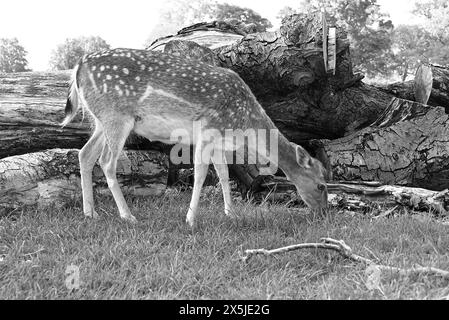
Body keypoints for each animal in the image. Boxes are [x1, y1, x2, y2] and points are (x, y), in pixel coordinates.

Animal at [62, 48, 328, 226]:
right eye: (321, 185)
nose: (324, 213)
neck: (243, 123)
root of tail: (78, 66)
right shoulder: (208, 130)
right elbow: (200, 174)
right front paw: (190, 219)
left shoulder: (219, 140)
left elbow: (223, 174)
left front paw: (231, 213)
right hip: (116, 116)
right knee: (106, 161)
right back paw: (128, 216)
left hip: (101, 120)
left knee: (85, 154)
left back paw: (90, 213)